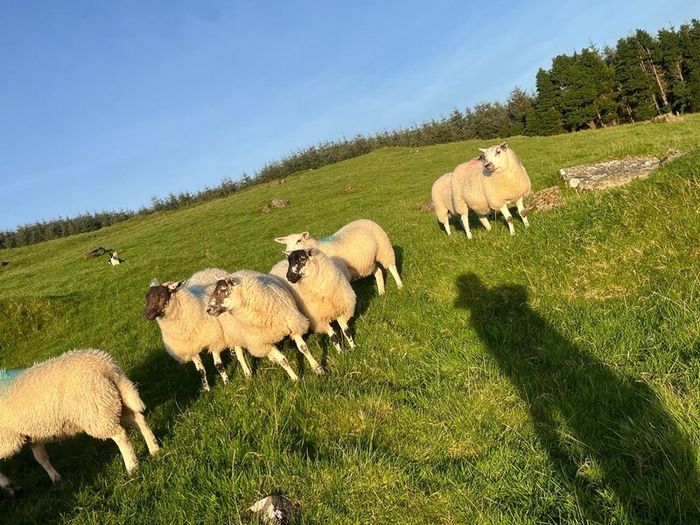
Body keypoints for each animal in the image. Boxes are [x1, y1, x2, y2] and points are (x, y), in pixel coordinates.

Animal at [0, 349, 159, 495]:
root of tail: (106, 364)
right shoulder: (31, 435)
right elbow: (42, 458)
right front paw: (56, 479)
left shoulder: (7, 439)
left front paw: (8, 485)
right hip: (112, 402)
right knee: (139, 420)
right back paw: (154, 449)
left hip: (96, 413)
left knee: (120, 435)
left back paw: (132, 467)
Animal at [274, 219, 402, 295]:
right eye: (286, 243)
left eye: (299, 240)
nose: (287, 252)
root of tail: (365, 219)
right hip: (368, 261)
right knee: (379, 271)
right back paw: (381, 291)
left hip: (384, 248)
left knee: (392, 267)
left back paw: (400, 285)